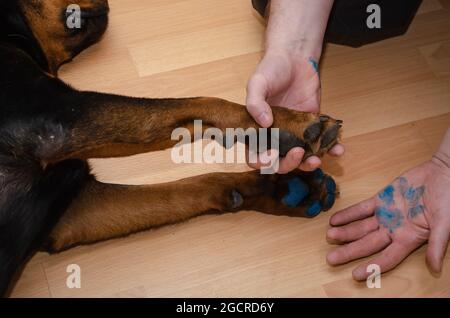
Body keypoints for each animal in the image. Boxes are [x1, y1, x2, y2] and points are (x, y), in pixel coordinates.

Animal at [0, 0, 342, 296]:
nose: (109, 2)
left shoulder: (72, 213)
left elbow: (189, 185)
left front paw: (287, 190)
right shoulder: (57, 118)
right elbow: (208, 103)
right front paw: (291, 123)